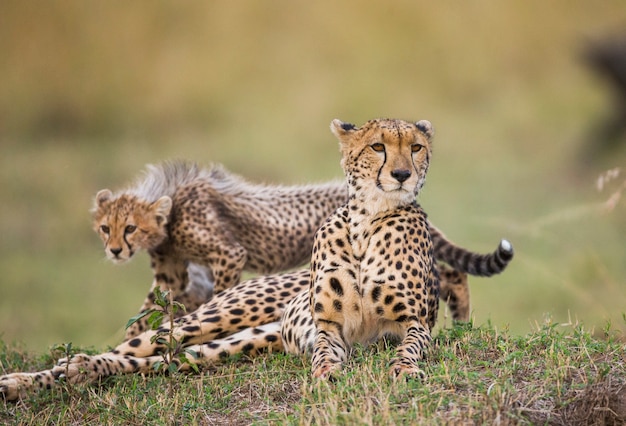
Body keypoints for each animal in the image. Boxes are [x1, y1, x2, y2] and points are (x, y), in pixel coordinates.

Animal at [0, 118, 512, 402]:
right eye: (378, 146)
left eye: (416, 147)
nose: (403, 173)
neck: (369, 219)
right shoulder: (329, 327)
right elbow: (325, 352)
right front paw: (326, 374)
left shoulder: (411, 323)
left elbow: (409, 346)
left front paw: (404, 369)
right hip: (214, 317)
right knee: (134, 345)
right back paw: (29, 378)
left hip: (231, 344)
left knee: (152, 361)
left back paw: (67, 374)